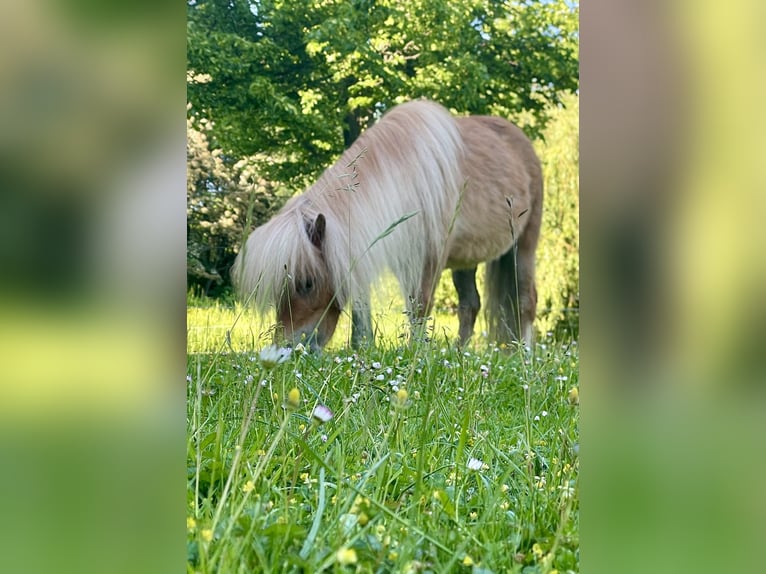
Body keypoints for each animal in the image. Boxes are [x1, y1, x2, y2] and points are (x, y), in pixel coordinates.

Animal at [231, 99, 544, 352]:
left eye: (307, 283)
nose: (289, 347)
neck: (405, 181)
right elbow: (363, 306)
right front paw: (361, 347)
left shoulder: (427, 260)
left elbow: (418, 307)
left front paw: (415, 352)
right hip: (466, 261)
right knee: (470, 305)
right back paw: (459, 354)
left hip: (523, 247)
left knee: (525, 302)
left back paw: (525, 357)